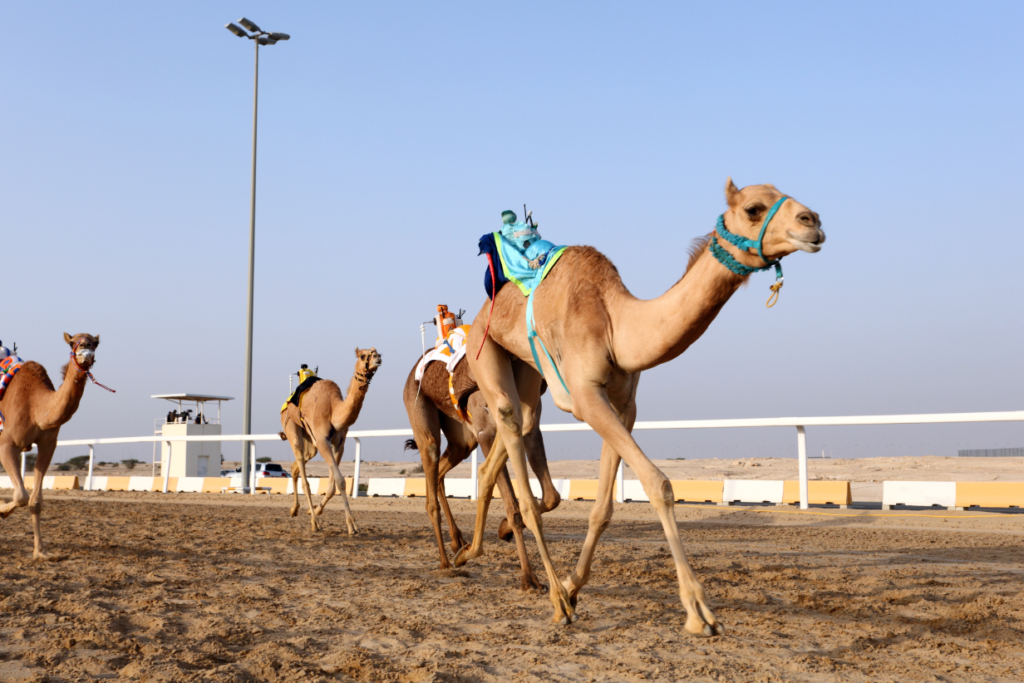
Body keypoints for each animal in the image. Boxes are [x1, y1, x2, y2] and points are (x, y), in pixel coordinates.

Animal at [0, 331, 104, 561]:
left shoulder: (48, 444)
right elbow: (21, 496)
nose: (85, 349)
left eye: (95, 342)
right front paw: (3, 511)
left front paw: (41, 552)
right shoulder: (7, 444)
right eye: (73, 342)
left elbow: (35, 501)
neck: (36, 408)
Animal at [282, 348, 382, 532]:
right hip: (291, 427)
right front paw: (352, 525)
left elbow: (332, 485)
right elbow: (340, 481)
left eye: (377, 352)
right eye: (363, 356)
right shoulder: (323, 441)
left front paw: (314, 510)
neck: (334, 410)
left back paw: (295, 510)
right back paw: (314, 523)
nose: (378, 358)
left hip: (311, 444)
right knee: (304, 476)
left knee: (295, 467)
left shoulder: (338, 444)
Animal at [401, 356, 561, 589]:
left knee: (440, 472)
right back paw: (446, 562)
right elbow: (512, 506)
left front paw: (503, 530)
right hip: (420, 409)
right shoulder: (486, 432)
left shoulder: (528, 426)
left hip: (462, 440)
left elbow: (551, 497)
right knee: (431, 480)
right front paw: (528, 578)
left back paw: (457, 541)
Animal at [460, 179, 827, 634]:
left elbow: (603, 508)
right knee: (513, 438)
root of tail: (480, 311)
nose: (812, 222)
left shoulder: (623, 405)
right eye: (754, 208)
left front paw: (575, 586)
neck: (616, 324)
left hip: (527, 369)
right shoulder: (586, 396)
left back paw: (470, 550)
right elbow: (658, 484)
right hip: (484, 349)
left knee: (517, 429)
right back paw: (553, 597)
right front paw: (698, 611)